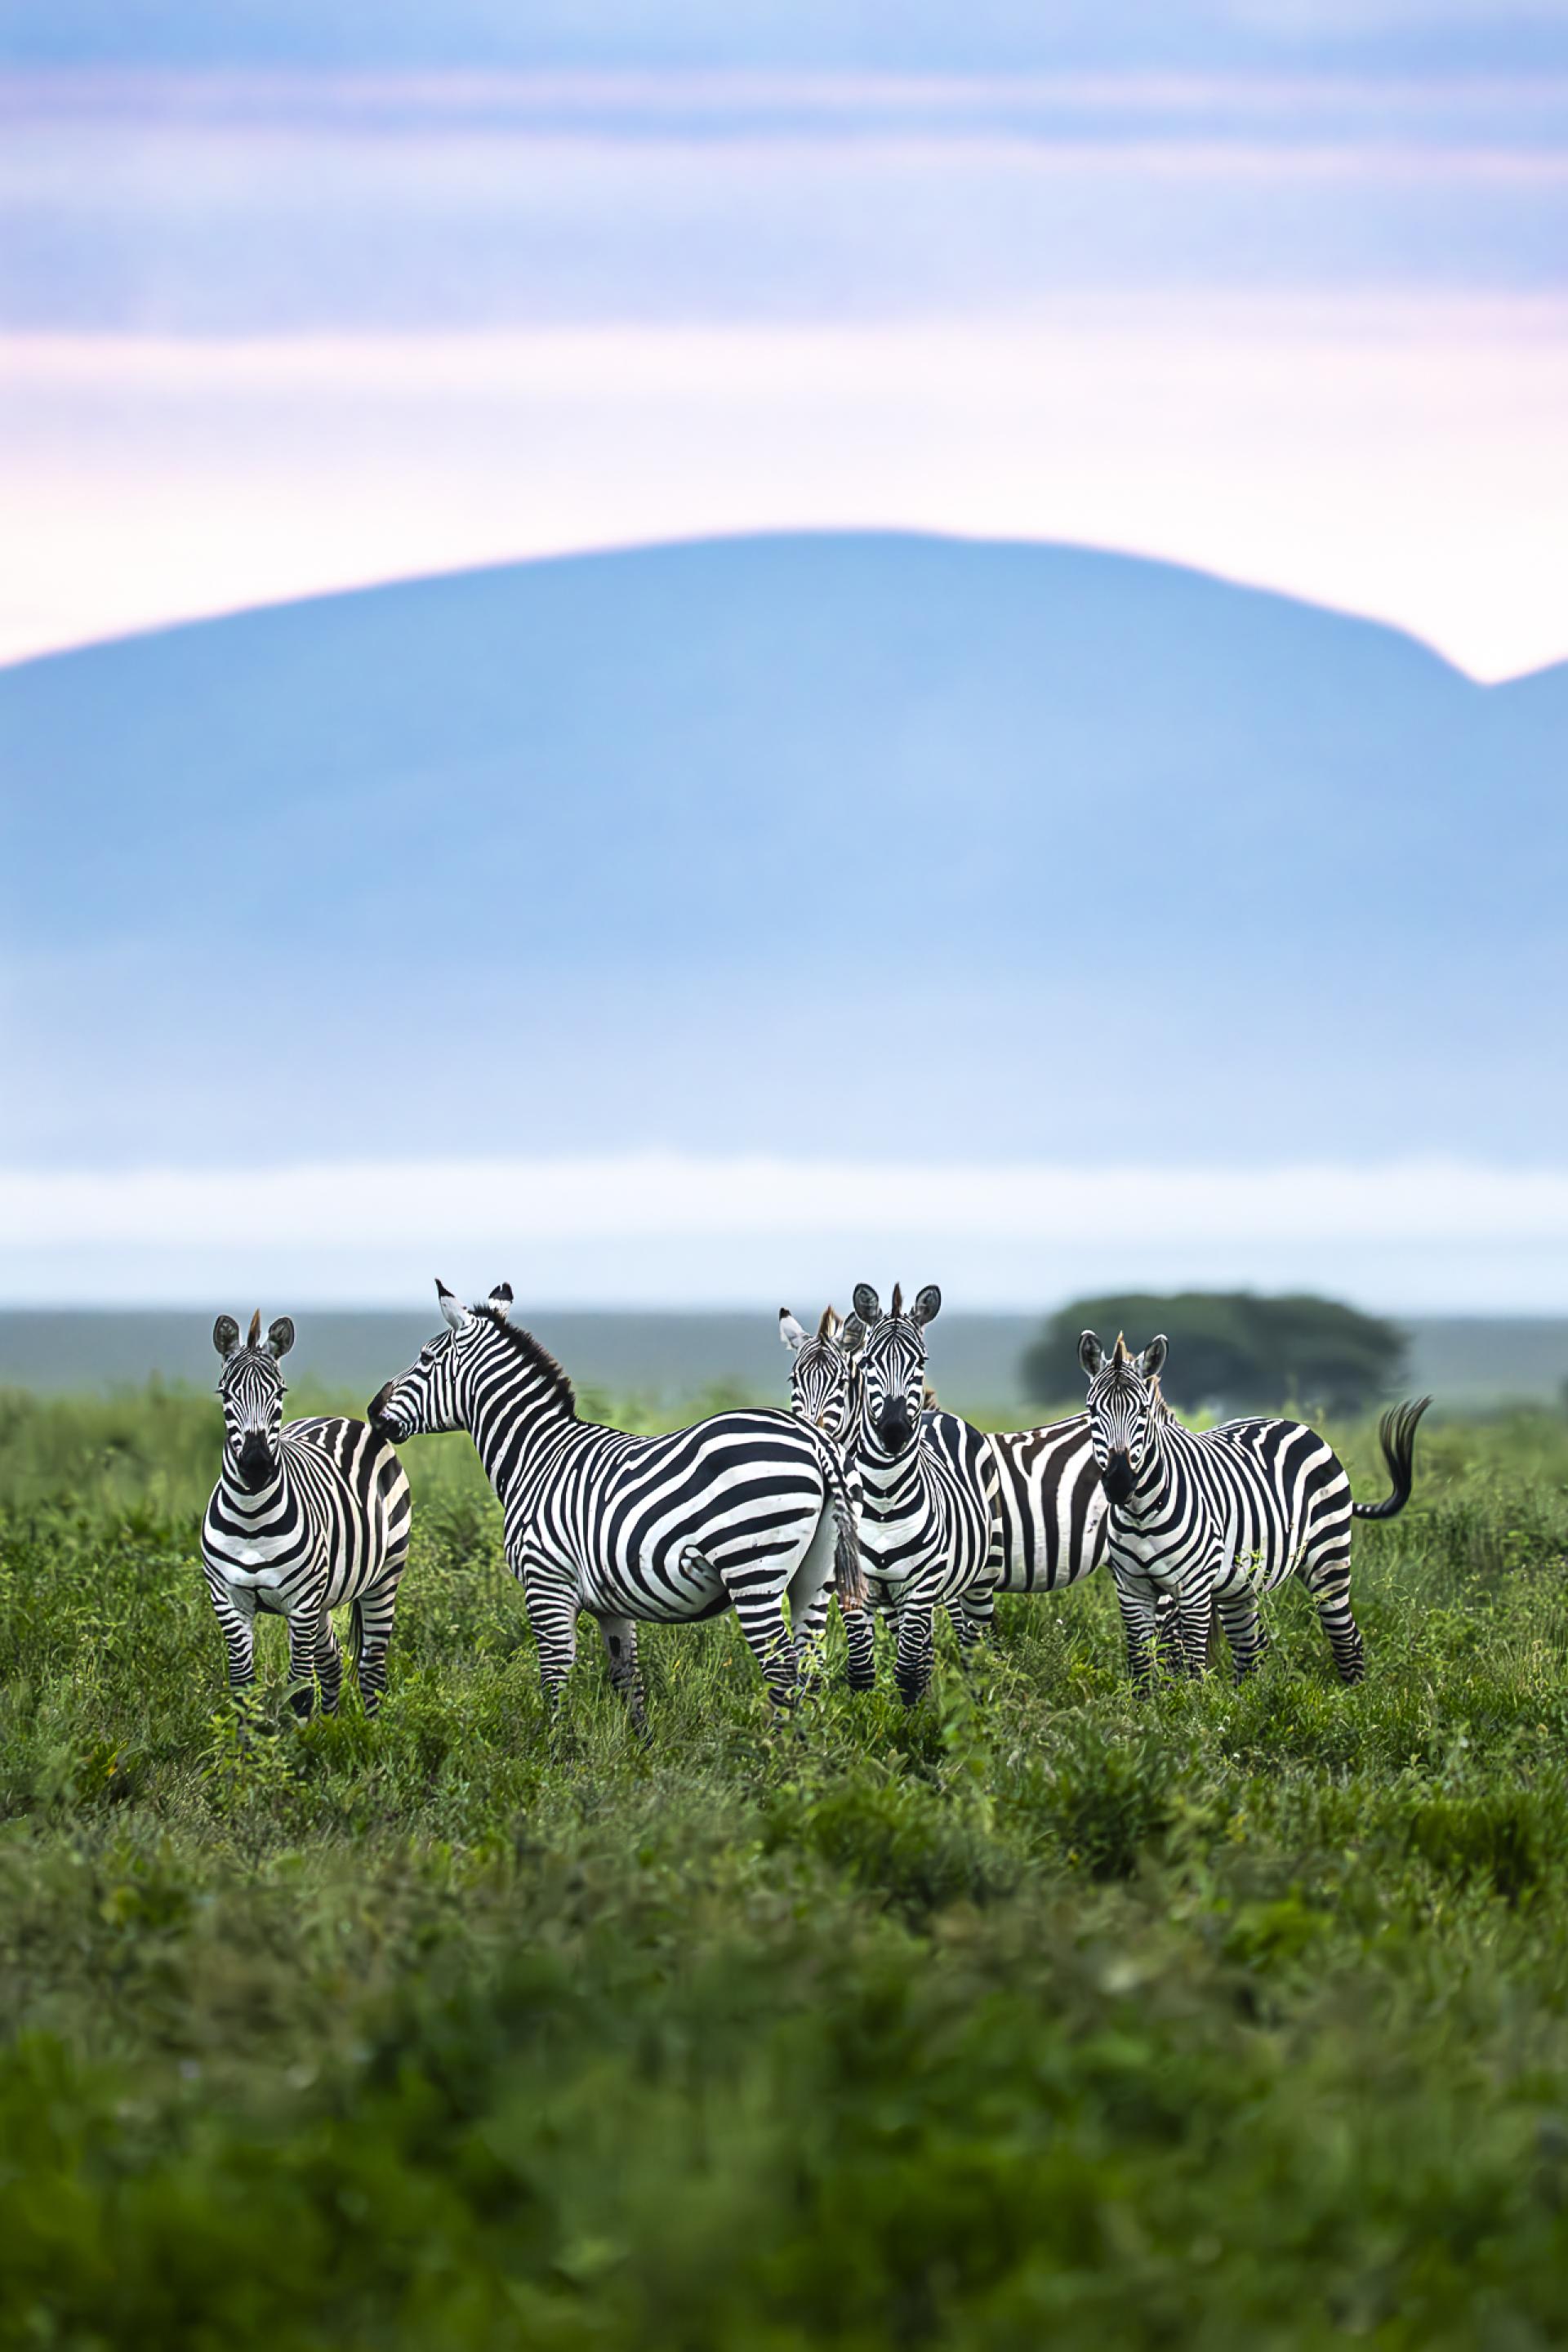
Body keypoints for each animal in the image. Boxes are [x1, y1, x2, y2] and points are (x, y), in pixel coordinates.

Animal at [202, 1316, 411, 1722]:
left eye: (279, 1393)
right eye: (225, 1395)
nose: (256, 1466)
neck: (251, 1517)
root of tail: (336, 1418)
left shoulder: (301, 1603)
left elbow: (298, 1691)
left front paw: (303, 1740)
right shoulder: (229, 1600)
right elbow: (243, 1692)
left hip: (385, 1576)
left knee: (371, 1671)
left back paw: (373, 1731)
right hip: (325, 1599)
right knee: (331, 1663)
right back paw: (330, 1727)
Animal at [368, 1289, 865, 1731]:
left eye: (425, 1359)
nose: (373, 1411)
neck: (538, 1455)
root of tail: (818, 1442)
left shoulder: (546, 1583)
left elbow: (555, 1677)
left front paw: (557, 1753)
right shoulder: (611, 1603)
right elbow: (629, 1680)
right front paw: (637, 1755)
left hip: (753, 1571)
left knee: (783, 1671)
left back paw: (770, 1757)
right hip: (815, 1575)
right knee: (811, 1671)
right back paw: (802, 1759)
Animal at [1081, 1326, 1438, 1693]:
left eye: (1142, 1411)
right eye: (1092, 1411)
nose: (1119, 1482)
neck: (1141, 1512)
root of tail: (1294, 1423)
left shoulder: (1193, 1588)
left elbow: (1192, 1670)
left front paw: (1191, 1708)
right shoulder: (1131, 1589)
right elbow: (1141, 1673)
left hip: (1329, 1560)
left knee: (1347, 1639)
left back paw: (1357, 1700)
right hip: (1240, 1587)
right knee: (1248, 1654)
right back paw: (1246, 1705)